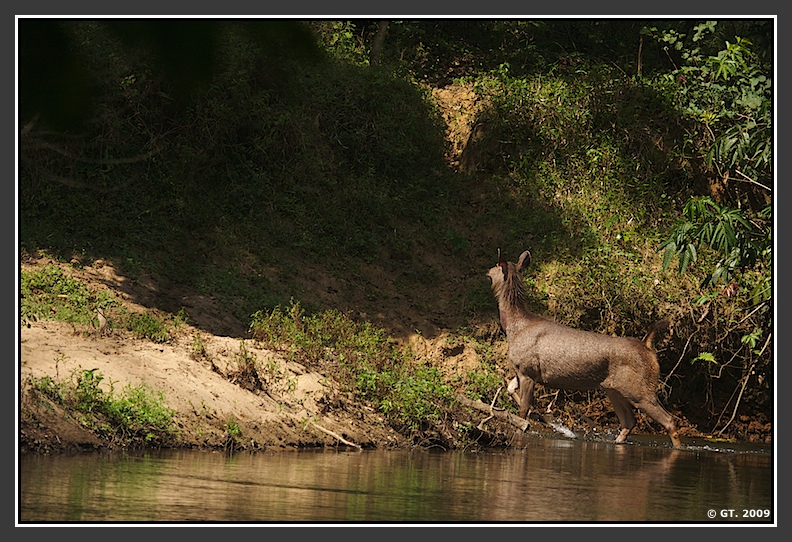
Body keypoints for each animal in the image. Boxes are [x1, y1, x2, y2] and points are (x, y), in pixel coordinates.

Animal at [486, 249, 684, 448]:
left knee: (669, 420)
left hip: (641, 389)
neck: (514, 327)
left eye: (492, 270)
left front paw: (526, 425)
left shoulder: (527, 370)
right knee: (629, 421)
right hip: (614, 389)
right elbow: (509, 388)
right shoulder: (522, 370)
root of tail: (648, 346)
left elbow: (523, 410)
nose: (486, 272)